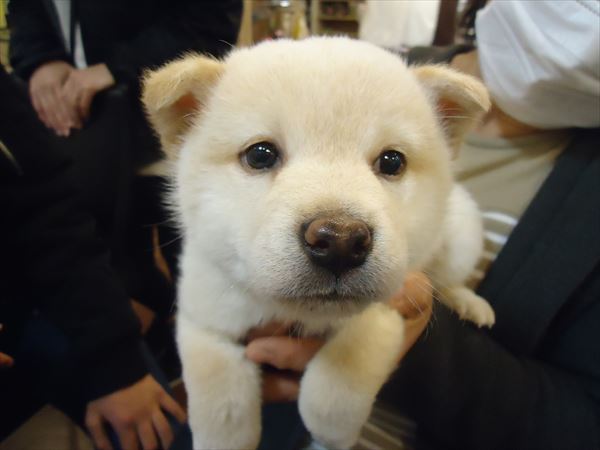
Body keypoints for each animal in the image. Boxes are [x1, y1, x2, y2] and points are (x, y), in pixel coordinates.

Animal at [142, 37, 494, 450]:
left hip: (463, 229)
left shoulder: (393, 298)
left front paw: (329, 424)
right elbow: (219, 395)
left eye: (392, 162)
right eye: (259, 154)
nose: (341, 241)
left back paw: (471, 302)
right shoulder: (204, 310)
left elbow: (348, 362)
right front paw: (225, 434)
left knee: (449, 279)